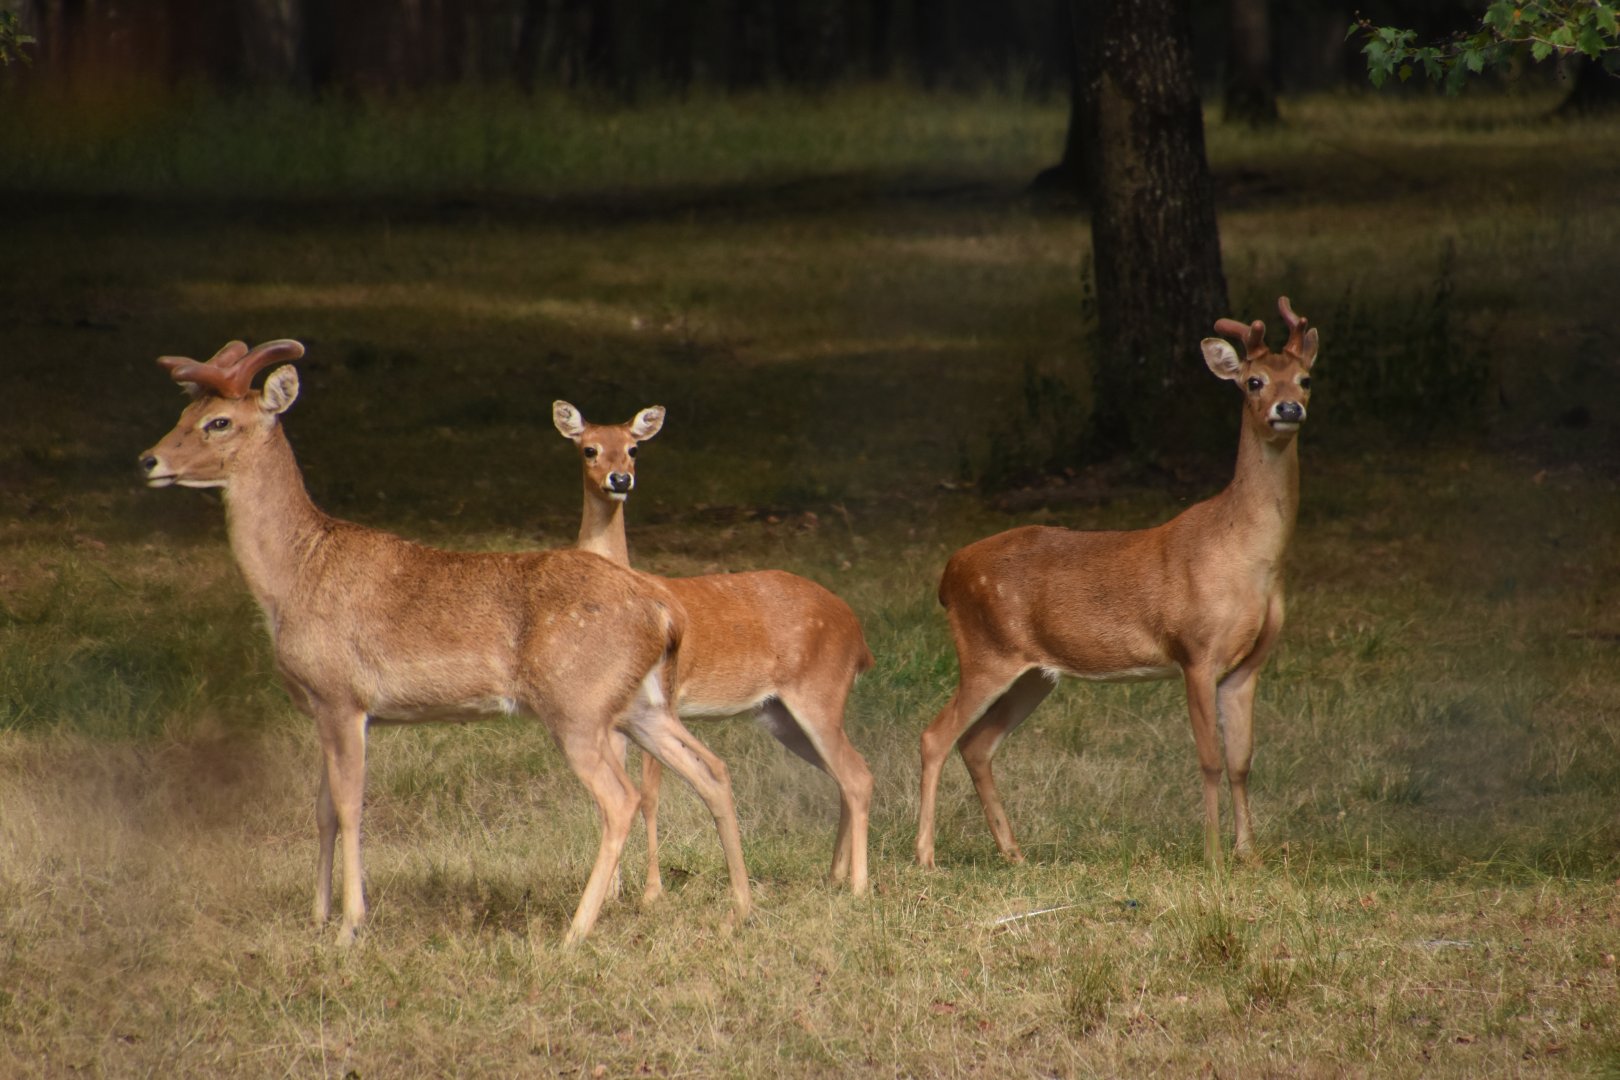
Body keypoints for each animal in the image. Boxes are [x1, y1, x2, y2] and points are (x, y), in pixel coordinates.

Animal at [138, 340, 752, 946]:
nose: (148, 460)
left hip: (577, 704)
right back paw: (739, 909)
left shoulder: (342, 695)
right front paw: (317, 919)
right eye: (185, 413)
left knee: (622, 798)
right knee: (711, 770)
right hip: (639, 706)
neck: (292, 577)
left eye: (219, 421)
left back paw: (574, 934)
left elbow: (350, 806)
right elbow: (322, 810)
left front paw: (350, 927)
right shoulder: (325, 707)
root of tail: (663, 611)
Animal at [552, 401, 876, 898]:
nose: (620, 479)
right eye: (589, 449)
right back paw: (835, 875)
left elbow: (649, 795)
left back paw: (858, 886)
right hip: (781, 714)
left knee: (857, 776)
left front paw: (652, 894)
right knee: (844, 775)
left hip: (819, 692)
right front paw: (615, 891)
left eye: (633, 449)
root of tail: (859, 637)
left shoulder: (662, 699)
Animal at [914, 297, 1318, 872]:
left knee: (977, 744)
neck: (1248, 556)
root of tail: (949, 575)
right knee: (935, 736)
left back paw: (1014, 853)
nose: (1288, 410)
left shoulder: (1249, 664)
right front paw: (1214, 857)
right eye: (1254, 381)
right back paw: (926, 855)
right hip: (985, 653)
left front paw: (1250, 856)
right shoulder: (1195, 650)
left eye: (1305, 379)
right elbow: (1209, 758)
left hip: (1033, 673)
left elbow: (1242, 760)